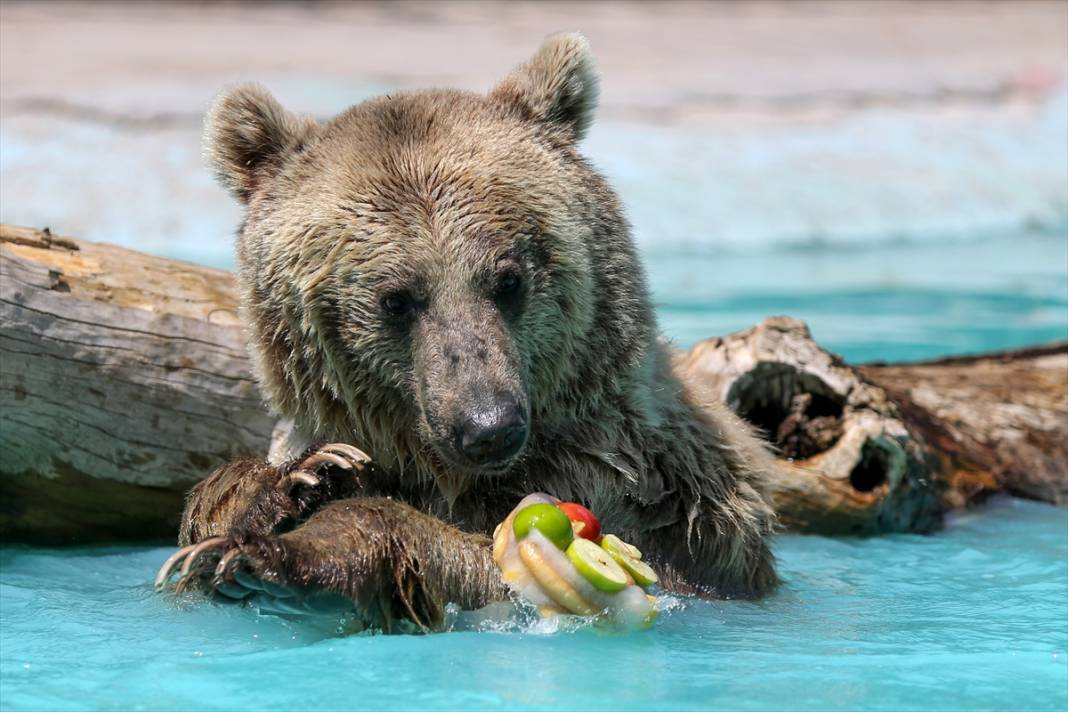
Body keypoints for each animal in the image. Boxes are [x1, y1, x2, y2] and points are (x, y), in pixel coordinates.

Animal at [155, 32, 777, 627]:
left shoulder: (631, 489)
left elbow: (501, 564)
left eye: (508, 278)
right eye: (396, 298)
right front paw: (297, 481)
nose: (488, 426)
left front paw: (293, 556)